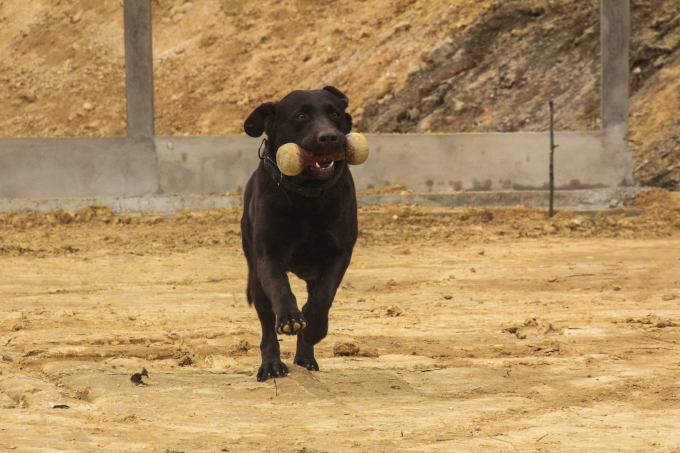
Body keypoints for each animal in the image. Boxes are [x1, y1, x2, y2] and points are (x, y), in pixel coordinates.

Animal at [242, 85, 358, 382]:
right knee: (266, 325)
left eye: (335, 113)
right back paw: (271, 365)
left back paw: (305, 358)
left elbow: (322, 298)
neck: (307, 195)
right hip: (255, 277)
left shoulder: (338, 254)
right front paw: (290, 319)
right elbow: (281, 289)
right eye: (301, 116)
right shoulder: (268, 257)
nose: (329, 137)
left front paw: (313, 328)